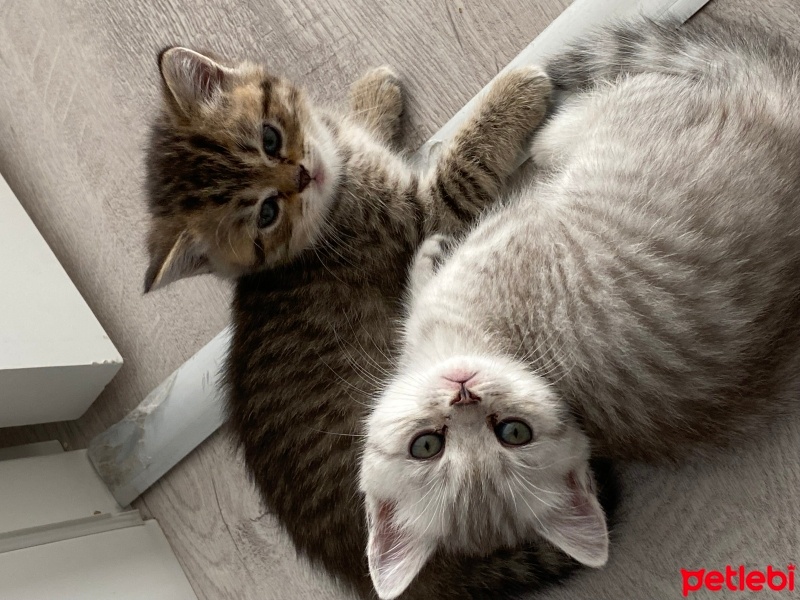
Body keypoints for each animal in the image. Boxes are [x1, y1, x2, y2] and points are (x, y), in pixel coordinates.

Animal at [144, 43, 620, 600]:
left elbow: (354, 125)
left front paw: (371, 97)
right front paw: (515, 92)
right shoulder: (422, 212)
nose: (302, 175)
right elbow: (463, 166)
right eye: (265, 213)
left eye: (270, 138)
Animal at [360, 15, 800, 600]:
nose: (463, 393)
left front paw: (427, 254)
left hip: (626, 115)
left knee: (560, 137)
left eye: (513, 432)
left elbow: (416, 283)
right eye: (427, 445)